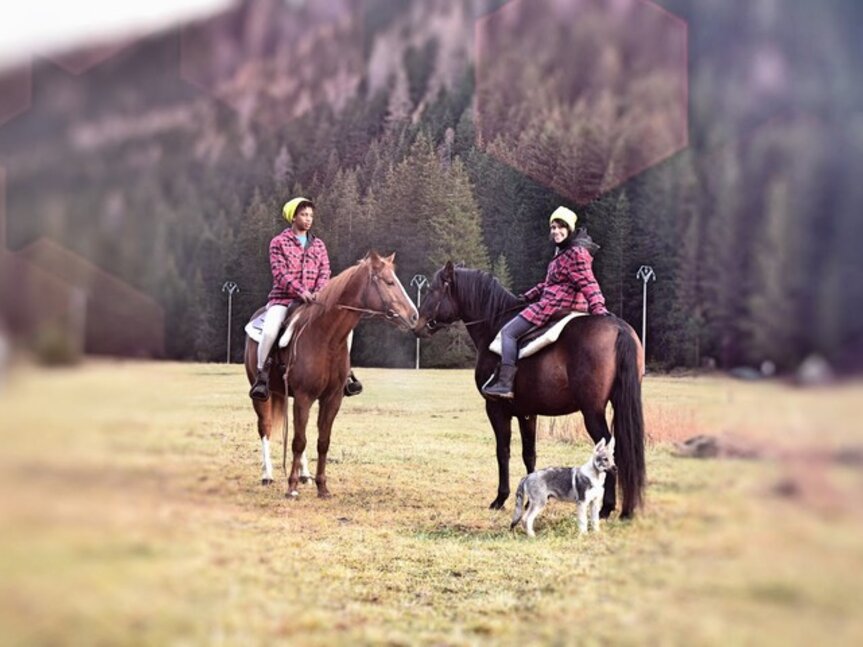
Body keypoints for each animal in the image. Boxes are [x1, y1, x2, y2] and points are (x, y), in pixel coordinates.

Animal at [244, 251, 419, 498]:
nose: (414, 316)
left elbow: (322, 441)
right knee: (265, 428)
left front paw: (322, 486)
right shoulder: (305, 397)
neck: (325, 338)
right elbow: (299, 441)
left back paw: (304, 475)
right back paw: (267, 475)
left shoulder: (331, 398)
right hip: (261, 396)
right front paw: (291, 487)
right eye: (388, 282)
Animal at [413, 261, 646, 518]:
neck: (494, 323)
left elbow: (502, 451)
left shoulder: (495, 409)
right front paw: (529, 500)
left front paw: (500, 499)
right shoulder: (528, 413)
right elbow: (529, 454)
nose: (417, 324)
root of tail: (618, 328)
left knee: (609, 452)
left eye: (432, 290)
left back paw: (607, 508)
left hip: (592, 411)